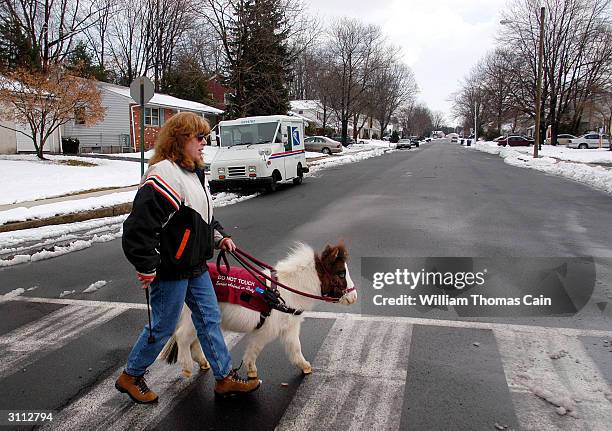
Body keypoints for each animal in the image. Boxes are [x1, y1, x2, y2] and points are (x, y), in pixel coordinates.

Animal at [160, 245, 356, 380]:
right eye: (341, 273)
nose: (354, 297)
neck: (286, 291)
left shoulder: (289, 328)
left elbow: (295, 347)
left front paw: (305, 367)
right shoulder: (266, 331)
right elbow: (254, 349)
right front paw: (251, 371)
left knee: (194, 342)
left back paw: (203, 363)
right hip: (194, 317)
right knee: (182, 337)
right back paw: (186, 368)